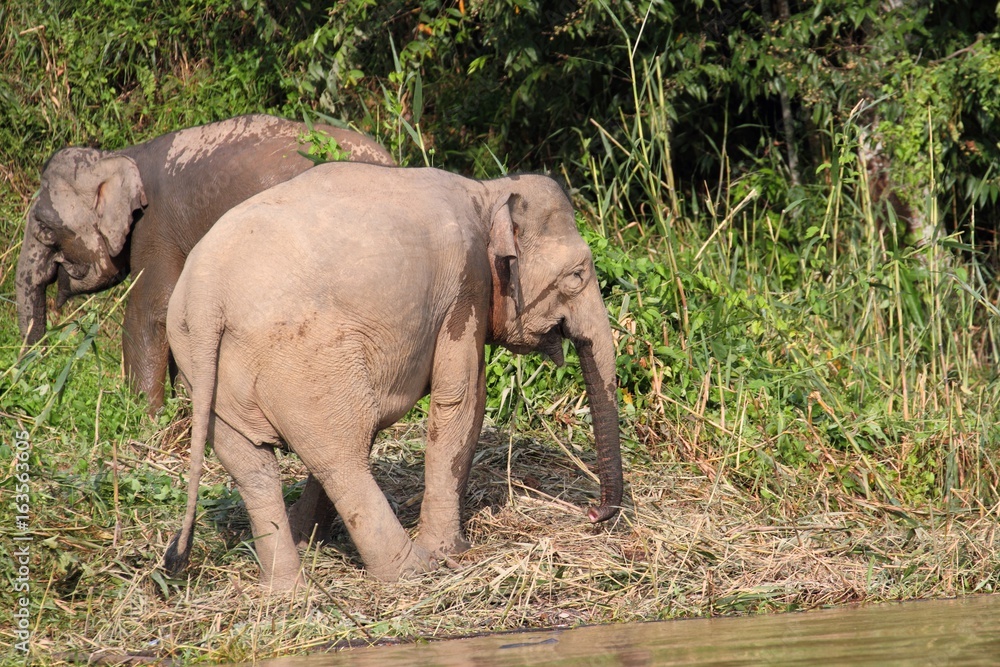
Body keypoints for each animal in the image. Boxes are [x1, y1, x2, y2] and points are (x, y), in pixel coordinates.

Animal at [15, 114, 394, 411]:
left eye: (46, 227)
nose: (35, 375)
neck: (119, 156)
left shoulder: (155, 226)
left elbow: (152, 308)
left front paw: (145, 418)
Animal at [163, 163, 623, 590]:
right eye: (577, 275)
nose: (592, 514)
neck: (486, 192)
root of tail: (206, 296)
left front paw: (309, 537)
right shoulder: (465, 288)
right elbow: (461, 399)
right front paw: (452, 552)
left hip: (204, 368)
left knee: (253, 467)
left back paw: (287, 589)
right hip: (302, 357)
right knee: (339, 459)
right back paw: (411, 570)